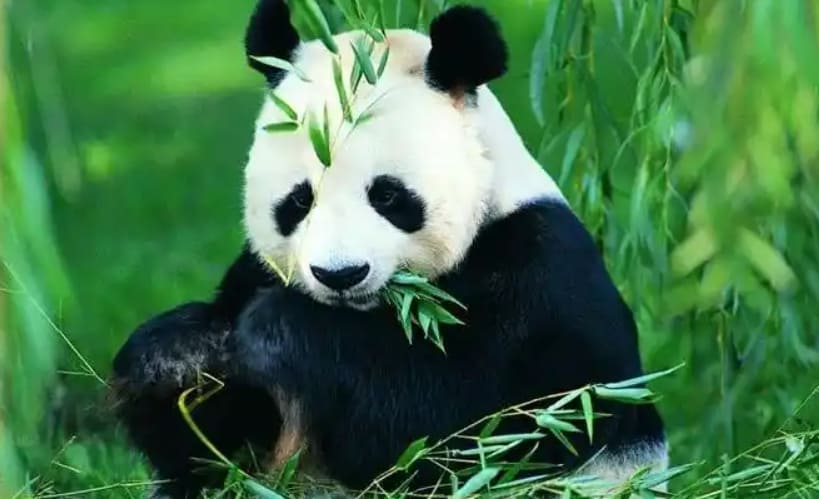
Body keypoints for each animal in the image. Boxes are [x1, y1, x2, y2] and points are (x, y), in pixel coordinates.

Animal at [110, 1, 668, 497]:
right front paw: (176, 355)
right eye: (299, 200)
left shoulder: (542, 278)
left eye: (387, 196)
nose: (340, 275)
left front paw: (280, 330)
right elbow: (214, 450)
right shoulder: (256, 271)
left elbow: (467, 427)